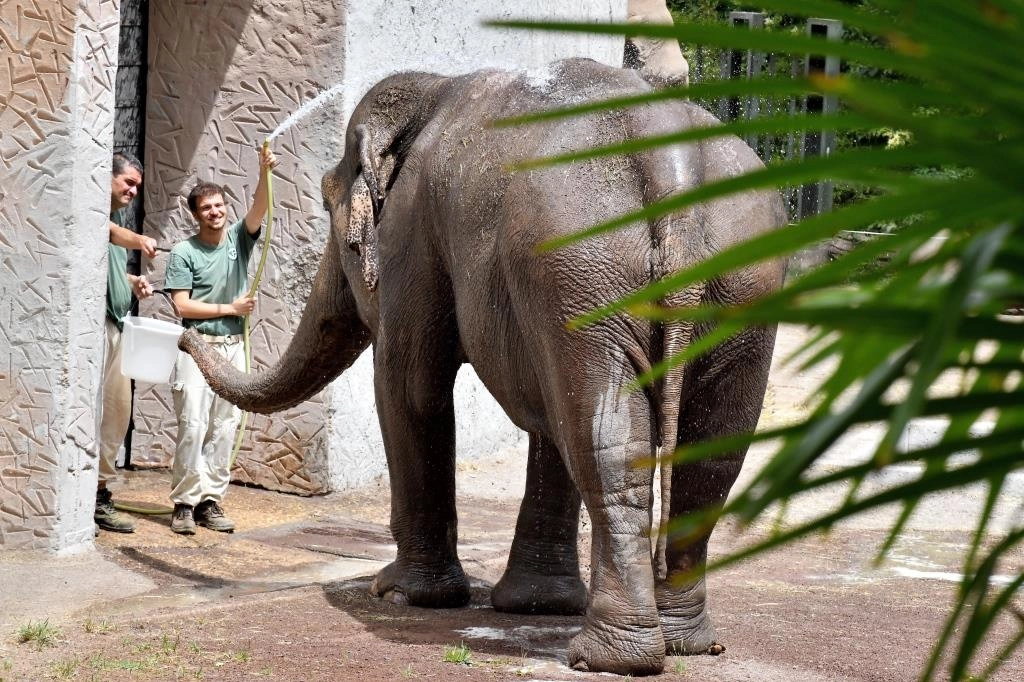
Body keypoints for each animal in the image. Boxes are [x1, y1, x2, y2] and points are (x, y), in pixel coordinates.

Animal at [182, 55, 782, 671]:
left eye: (327, 203)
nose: (181, 336)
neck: (434, 88)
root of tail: (673, 165)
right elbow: (545, 417)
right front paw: (536, 606)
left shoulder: (414, 229)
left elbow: (409, 382)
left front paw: (400, 593)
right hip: (736, 287)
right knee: (709, 456)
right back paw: (687, 643)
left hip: (594, 271)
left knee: (609, 442)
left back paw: (607, 657)